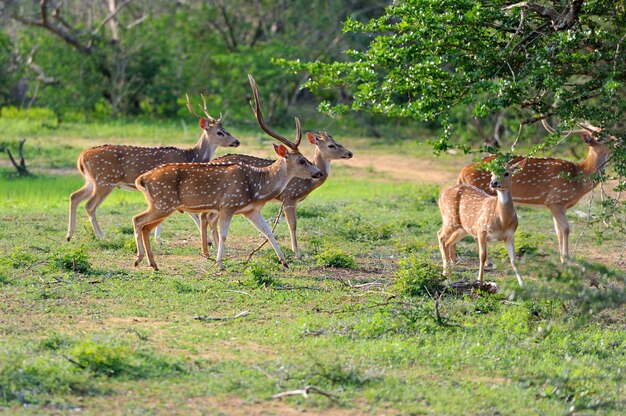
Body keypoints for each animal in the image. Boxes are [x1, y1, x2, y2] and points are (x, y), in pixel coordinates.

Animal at [65, 94, 236, 242]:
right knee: (89, 205)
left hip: (92, 180)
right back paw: (100, 236)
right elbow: (191, 213)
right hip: (105, 180)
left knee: (74, 196)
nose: (237, 141)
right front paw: (208, 241)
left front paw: (157, 237)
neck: (191, 157)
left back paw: (69, 235)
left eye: (226, 129)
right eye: (220, 132)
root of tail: (81, 157)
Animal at [131, 74, 322, 270]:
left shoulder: (251, 210)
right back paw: (143, 260)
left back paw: (150, 262)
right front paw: (220, 263)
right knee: (139, 221)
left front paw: (284, 261)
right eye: (302, 160)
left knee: (143, 224)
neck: (257, 188)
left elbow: (268, 232)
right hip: (163, 203)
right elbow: (224, 234)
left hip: (159, 204)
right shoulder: (228, 204)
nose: (319, 172)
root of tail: (143, 178)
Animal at [202, 132, 354, 258]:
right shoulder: (290, 196)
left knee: (208, 217)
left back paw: (212, 250)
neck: (307, 183)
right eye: (331, 145)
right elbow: (292, 224)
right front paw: (297, 254)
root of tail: (211, 161)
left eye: (338, 141)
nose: (350, 153)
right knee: (207, 216)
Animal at [456, 118, 612, 262]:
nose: (616, 140)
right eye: (600, 137)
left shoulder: (556, 204)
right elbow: (566, 229)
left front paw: (563, 258)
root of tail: (462, 172)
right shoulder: (556, 200)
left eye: (609, 133)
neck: (579, 177)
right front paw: (566, 260)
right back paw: (488, 263)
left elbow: (558, 231)